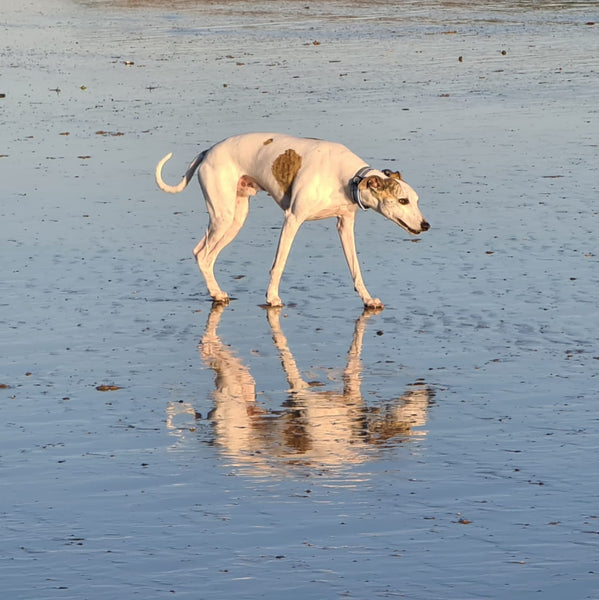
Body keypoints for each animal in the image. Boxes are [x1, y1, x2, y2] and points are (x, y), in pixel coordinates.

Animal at [154, 132, 426, 310]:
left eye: (416, 200)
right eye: (402, 201)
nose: (426, 225)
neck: (348, 177)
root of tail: (207, 151)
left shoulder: (345, 225)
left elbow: (355, 269)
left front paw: (368, 299)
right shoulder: (293, 219)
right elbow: (279, 263)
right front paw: (272, 298)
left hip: (235, 219)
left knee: (204, 254)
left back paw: (217, 294)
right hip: (223, 216)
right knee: (202, 254)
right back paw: (217, 294)